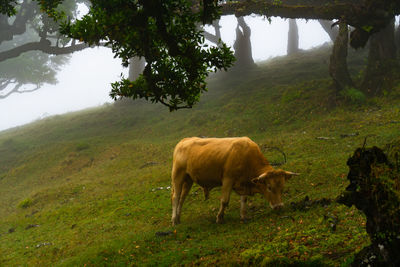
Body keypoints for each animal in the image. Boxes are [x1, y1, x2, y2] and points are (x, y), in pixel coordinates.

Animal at [170, 137, 298, 227]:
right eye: (269, 187)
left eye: (282, 187)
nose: (279, 206)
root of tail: (185, 140)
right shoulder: (228, 179)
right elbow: (224, 200)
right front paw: (219, 218)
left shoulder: (244, 182)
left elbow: (244, 199)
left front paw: (243, 216)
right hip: (178, 175)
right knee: (176, 197)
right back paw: (174, 220)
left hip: (188, 179)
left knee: (182, 198)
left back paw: (178, 218)